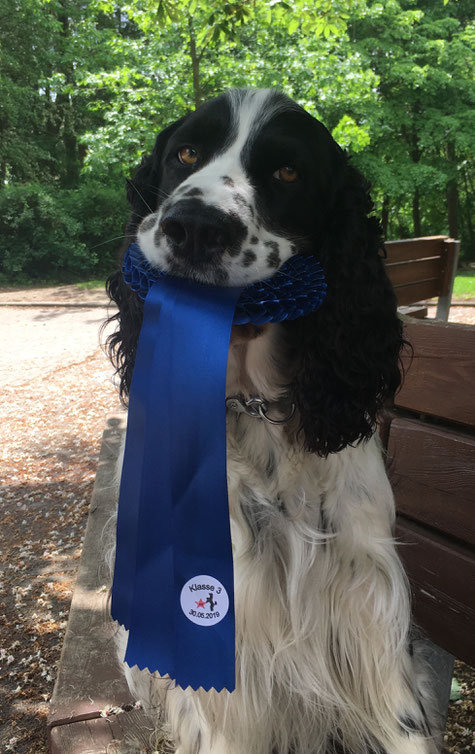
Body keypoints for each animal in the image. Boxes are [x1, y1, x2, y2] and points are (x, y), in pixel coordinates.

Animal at [107, 89, 438, 752]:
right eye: (186, 153)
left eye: (287, 172)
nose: (195, 227)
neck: (253, 409)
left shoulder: (366, 597)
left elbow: (402, 722)